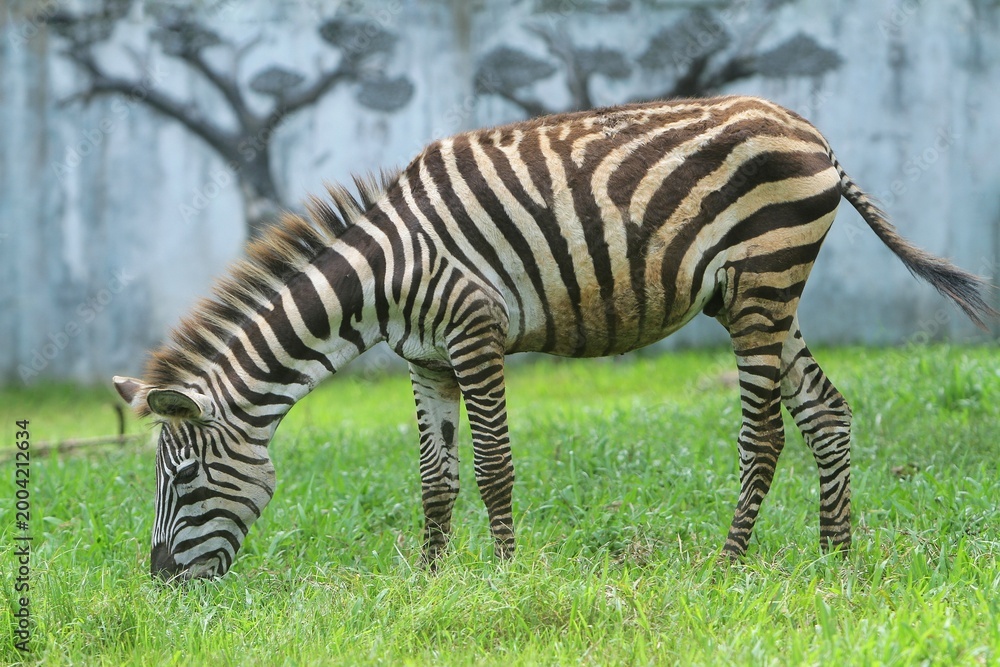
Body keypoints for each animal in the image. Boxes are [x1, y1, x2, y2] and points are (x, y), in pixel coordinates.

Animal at [114, 95, 995, 580]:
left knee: (766, 432)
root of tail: (815, 135)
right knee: (825, 412)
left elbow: (494, 467)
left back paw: (731, 563)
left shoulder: (475, 334)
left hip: (761, 284)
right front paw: (429, 581)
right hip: (758, 295)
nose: (159, 584)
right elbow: (435, 480)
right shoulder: (424, 362)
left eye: (182, 482)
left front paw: (504, 576)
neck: (387, 270)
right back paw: (834, 559)